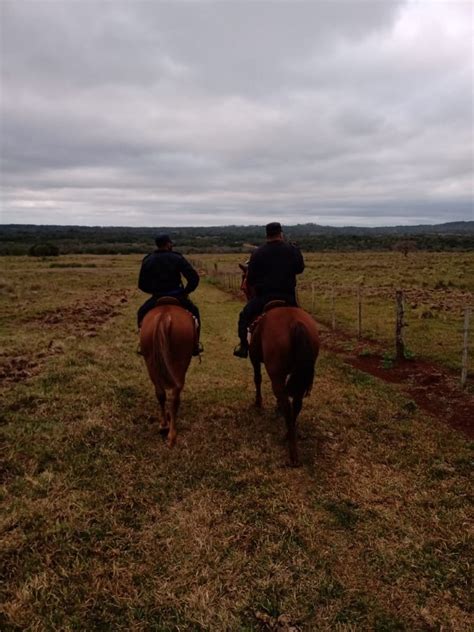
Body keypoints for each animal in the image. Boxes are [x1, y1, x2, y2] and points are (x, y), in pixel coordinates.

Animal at [140, 298, 195, 446]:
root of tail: (165, 316)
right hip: (180, 364)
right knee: (175, 396)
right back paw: (172, 434)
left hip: (150, 363)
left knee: (160, 393)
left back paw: (164, 425)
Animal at [241, 262, 318, 464]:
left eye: (245, 282)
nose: (243, 290)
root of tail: (295, 323)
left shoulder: (255, 359)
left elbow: (257, 379)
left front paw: (258, 402)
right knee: (296, 403)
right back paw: (288, 433)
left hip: (276, 373)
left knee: (286, 402)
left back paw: (292, 453)